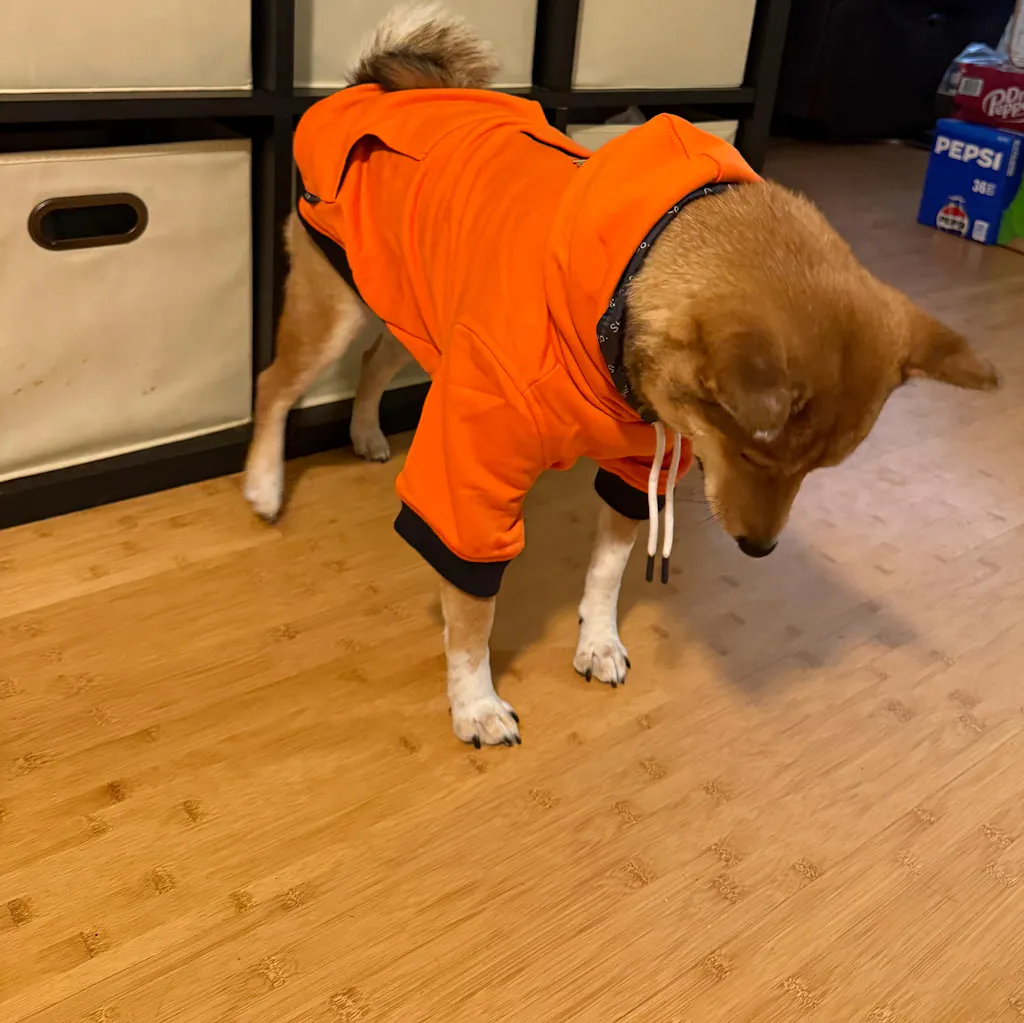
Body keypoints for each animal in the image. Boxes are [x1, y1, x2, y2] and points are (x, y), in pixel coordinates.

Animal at [244, 3, 1000, 748]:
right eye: (755, 453)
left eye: (817, 471)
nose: (759, 549)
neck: (612, 307)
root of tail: (374, 85)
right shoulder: (472, 479)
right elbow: (472, 614)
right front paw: (474, 702)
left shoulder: (641, 467)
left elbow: (606, 571)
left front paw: (598, 641)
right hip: (333, 308)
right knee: (274, 384)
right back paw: (264, 484)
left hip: (413, 310)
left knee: (374, 363)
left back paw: (367, 434)